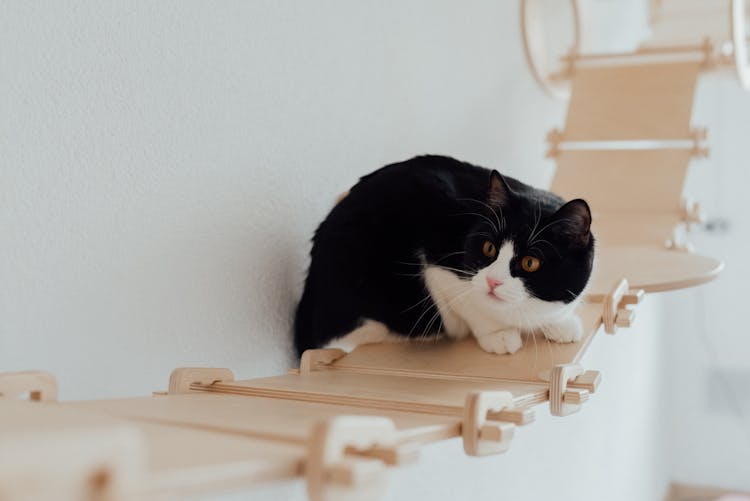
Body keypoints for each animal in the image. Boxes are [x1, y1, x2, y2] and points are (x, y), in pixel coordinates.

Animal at [294, 156, 592, 356]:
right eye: (489, 249)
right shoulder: (439, 268)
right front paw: (498, 334)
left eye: (531, 262)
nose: (493, 282)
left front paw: (560, 324)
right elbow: (472, 306)